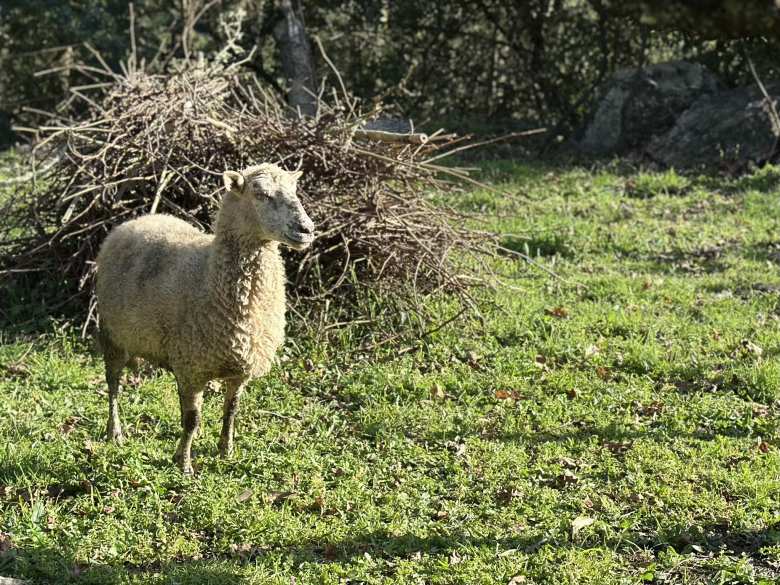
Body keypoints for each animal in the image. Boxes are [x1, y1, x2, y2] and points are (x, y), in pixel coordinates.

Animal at [96, 162, 316, 472]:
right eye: (260, 194)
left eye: (294, 191)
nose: (306, 230)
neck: (210, 274)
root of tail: (136, 220)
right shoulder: (192, 367)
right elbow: (192, 419)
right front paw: (184, 462)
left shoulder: (238, 368)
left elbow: (231, 410)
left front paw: (226, 450)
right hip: (112, 334)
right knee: (113, 384)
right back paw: (114, 431)